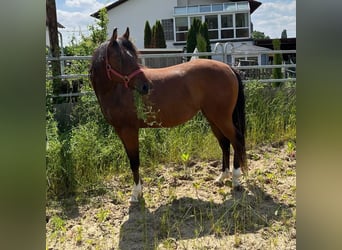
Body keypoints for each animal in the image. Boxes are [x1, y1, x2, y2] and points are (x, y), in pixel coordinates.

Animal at [89, 27, 247, 202]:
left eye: (133, 57)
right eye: (119, 58)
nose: (146, 86)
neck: (117, 91)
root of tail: (228, 68)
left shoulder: (129, 130)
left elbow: (135, 161)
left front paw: (136, 194)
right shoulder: (120, 131)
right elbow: (132, 159)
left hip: (222, 118)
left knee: (237, 140)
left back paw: (235, 180)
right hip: (213, 118)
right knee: (225, 143)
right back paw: (222, 177)